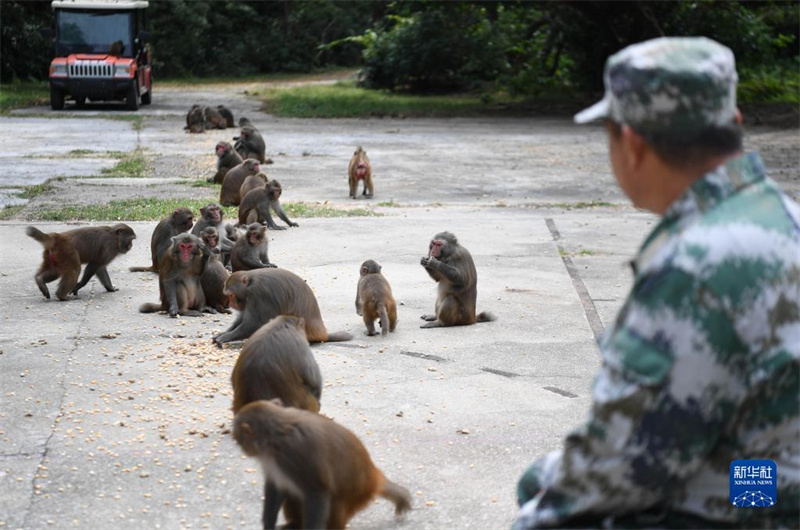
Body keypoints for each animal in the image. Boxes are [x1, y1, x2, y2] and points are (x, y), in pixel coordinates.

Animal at [212, 266, 354, 344]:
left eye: (231, 295)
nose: (231, 303)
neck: (250, 285)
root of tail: (322, 334)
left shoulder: (261, 295)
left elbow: (255, 323)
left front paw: (227, 336)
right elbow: (243, 318)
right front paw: (223, 333)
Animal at [230, 398, 410, 524]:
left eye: (239, 438)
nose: (241, 447)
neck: (277, 436)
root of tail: (373, 475)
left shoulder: (294, 454)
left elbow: (317, 493)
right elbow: (277, 486)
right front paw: (268, 522)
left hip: (356, 495)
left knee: (333, 501)